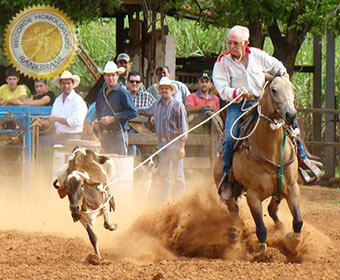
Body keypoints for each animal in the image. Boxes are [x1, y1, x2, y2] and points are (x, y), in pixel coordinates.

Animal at [214, 74, 302, 252]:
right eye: (274, 90)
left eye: (292, 88)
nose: (290, 114)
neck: (271, 150)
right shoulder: (253, 195)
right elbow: (261, 228)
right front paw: (262, 252)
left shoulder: (292, 187)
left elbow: (298, 221)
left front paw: (292, 241)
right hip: (228, 194)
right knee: (235, 213)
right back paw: (235, 234)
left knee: (272, 209)